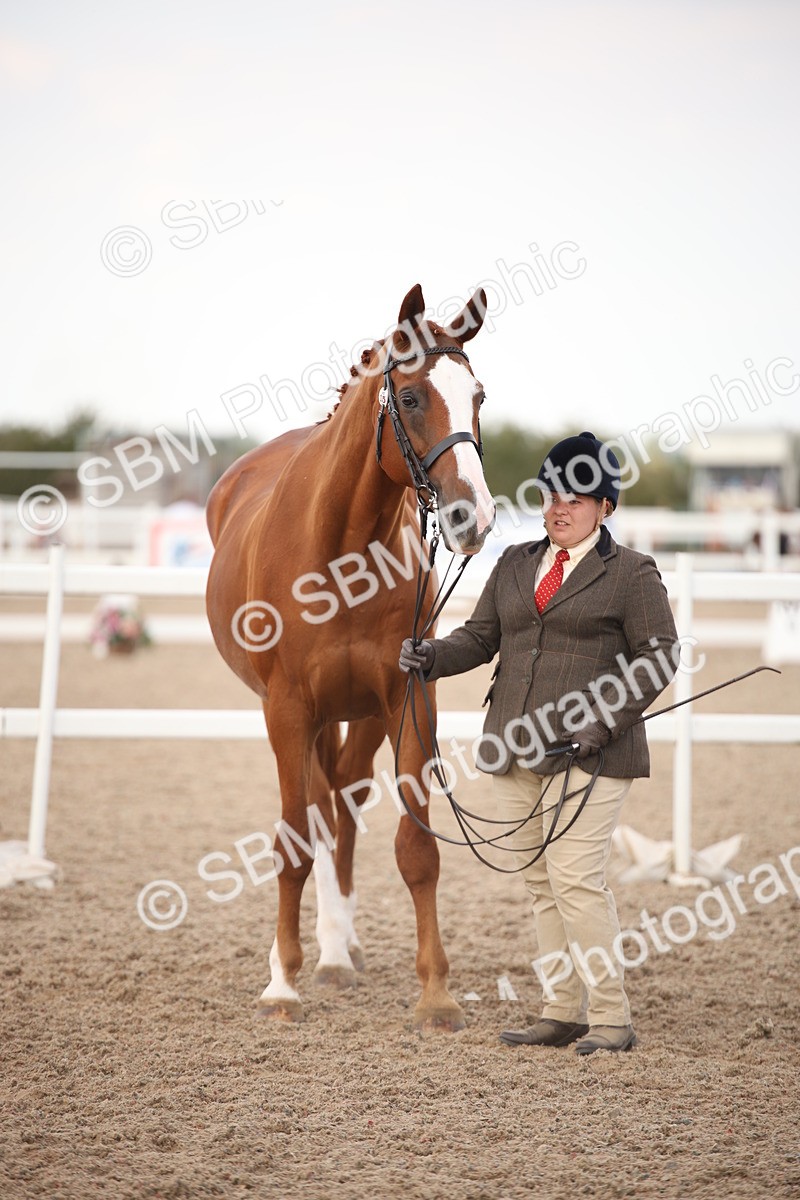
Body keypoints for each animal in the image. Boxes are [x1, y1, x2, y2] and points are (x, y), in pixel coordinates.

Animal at [205, 284, 495, 1030]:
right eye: (412, 397)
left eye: (479, 395)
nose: (473, 518)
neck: (340, 551)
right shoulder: (287, 709)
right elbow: (291, 843)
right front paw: (282, 985)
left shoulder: (407, 698)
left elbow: (416, 849)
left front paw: (436, 993)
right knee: (317, 809)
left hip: (358, 716)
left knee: (343, 801)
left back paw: (340, 949)